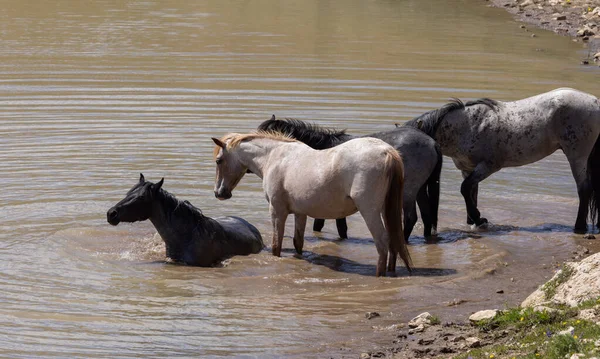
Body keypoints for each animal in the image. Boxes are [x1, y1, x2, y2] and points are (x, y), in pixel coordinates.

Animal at [211, 134, 412, 278]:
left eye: (219, 160)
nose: (219, 193)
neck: (274, 157)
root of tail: (387, 151)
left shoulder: (277, 211)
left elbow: (276, 245)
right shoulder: (300, 213)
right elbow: (297, 242)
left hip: (369, 211)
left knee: (382, 242)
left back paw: (380, 275)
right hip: (386, 210)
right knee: (393, 240)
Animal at [260, 116, 442, 243]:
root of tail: (432, 142)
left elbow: (333, 225)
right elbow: (328, 226)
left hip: (408, 191)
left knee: (411, 217)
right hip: (420, 189)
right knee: (427, 215)